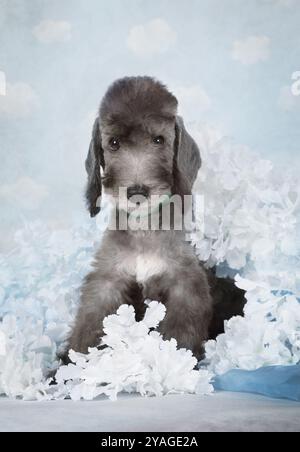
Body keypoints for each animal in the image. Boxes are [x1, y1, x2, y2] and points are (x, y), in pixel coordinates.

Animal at [63, 76, 246, 362]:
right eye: (113, 143)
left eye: (159, 139)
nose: (137, 191)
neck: (143, 230)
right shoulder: (106, 282)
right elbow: (88, 328)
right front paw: (73, 366)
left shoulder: (185, 287)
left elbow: (179, 334)